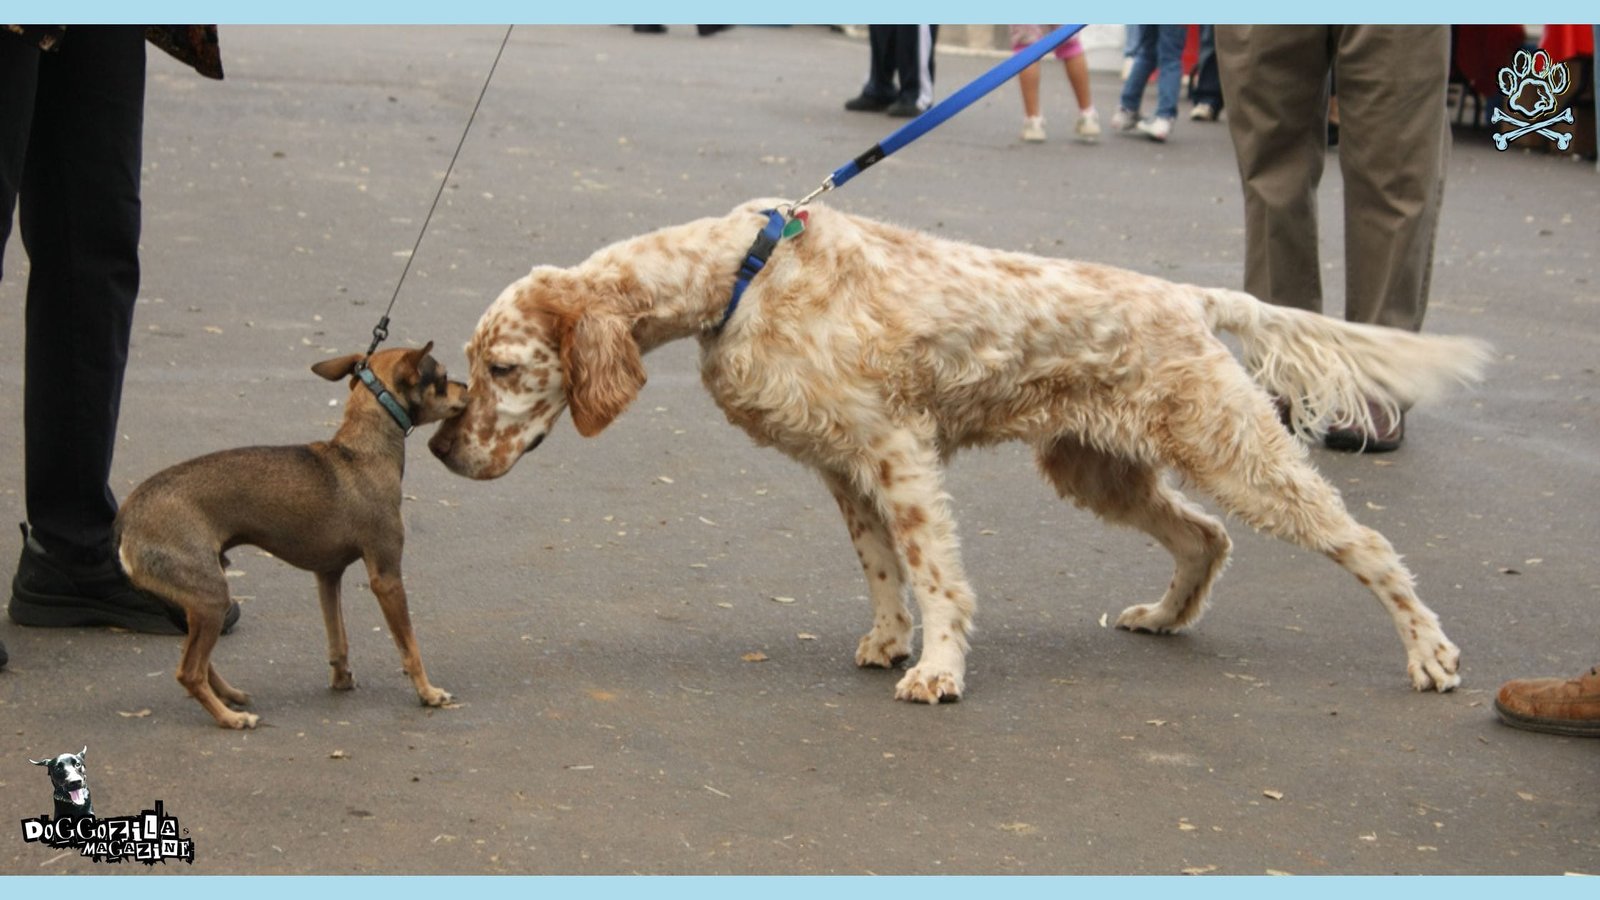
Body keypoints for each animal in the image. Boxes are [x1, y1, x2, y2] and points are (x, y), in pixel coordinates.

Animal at [116, 339, 467, 723]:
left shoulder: (327, 576)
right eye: (443, 377)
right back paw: (230, 718)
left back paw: (230, 696)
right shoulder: (386, 578)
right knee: (189, 671)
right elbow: (409, 646)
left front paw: (341, 678)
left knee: (196, 662)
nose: (467, 387)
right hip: (211, 598)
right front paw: (428, 692)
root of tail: (127, 519)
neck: (360, 453)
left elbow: (338, 638)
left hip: (198, 603)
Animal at [428, 197, 1484, 701]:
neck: (739, 276)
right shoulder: (842, 462)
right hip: (1094, 466)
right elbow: (880, 567)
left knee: (1368, 546)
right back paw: (1164, 616)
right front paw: (889, 641)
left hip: (1235, 450)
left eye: (506, 368)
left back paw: (1429, 653)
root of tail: (1188, 296)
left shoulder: (897, 450)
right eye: (470, 366)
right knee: (1205, 538)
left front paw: (937, 668)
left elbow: (936, 574)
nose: (442, 452)